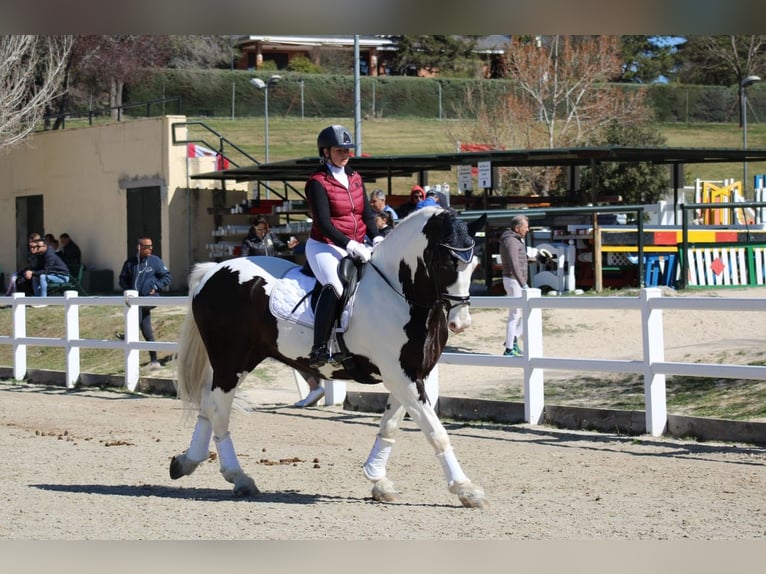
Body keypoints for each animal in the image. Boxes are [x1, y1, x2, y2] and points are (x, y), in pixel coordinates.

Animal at [171, 206, 488, 508]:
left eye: (474, 264)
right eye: (447, 264)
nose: (461, 324)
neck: (399, 295)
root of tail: (214, 271)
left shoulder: (410, 374)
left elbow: (390, 426)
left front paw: (378, 480)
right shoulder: (400, 376)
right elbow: (436, 432)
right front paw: (466, 490)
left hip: (237, 359)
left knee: (208, 403)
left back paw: (187, 462)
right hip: (231, 359)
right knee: (217, 409)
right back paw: (238, 477)